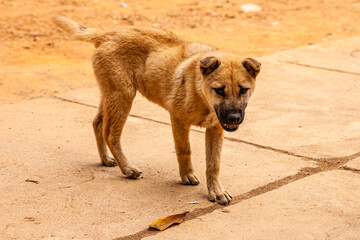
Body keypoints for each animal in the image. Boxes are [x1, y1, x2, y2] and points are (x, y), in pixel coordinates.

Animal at [54, 16, 262, 204]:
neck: (201, 94)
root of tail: (108, 34)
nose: (234, 118)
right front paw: (187, 176)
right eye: (219, 90)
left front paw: (216, 191)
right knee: (110, 134)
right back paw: (127, 169)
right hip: (123, 96)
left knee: (97, 123)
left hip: (110, 95)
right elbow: (184, 150)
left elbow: (214, 164)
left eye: (243, 90)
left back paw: (106, 159)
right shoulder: (178, 120)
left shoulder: (216, 129)